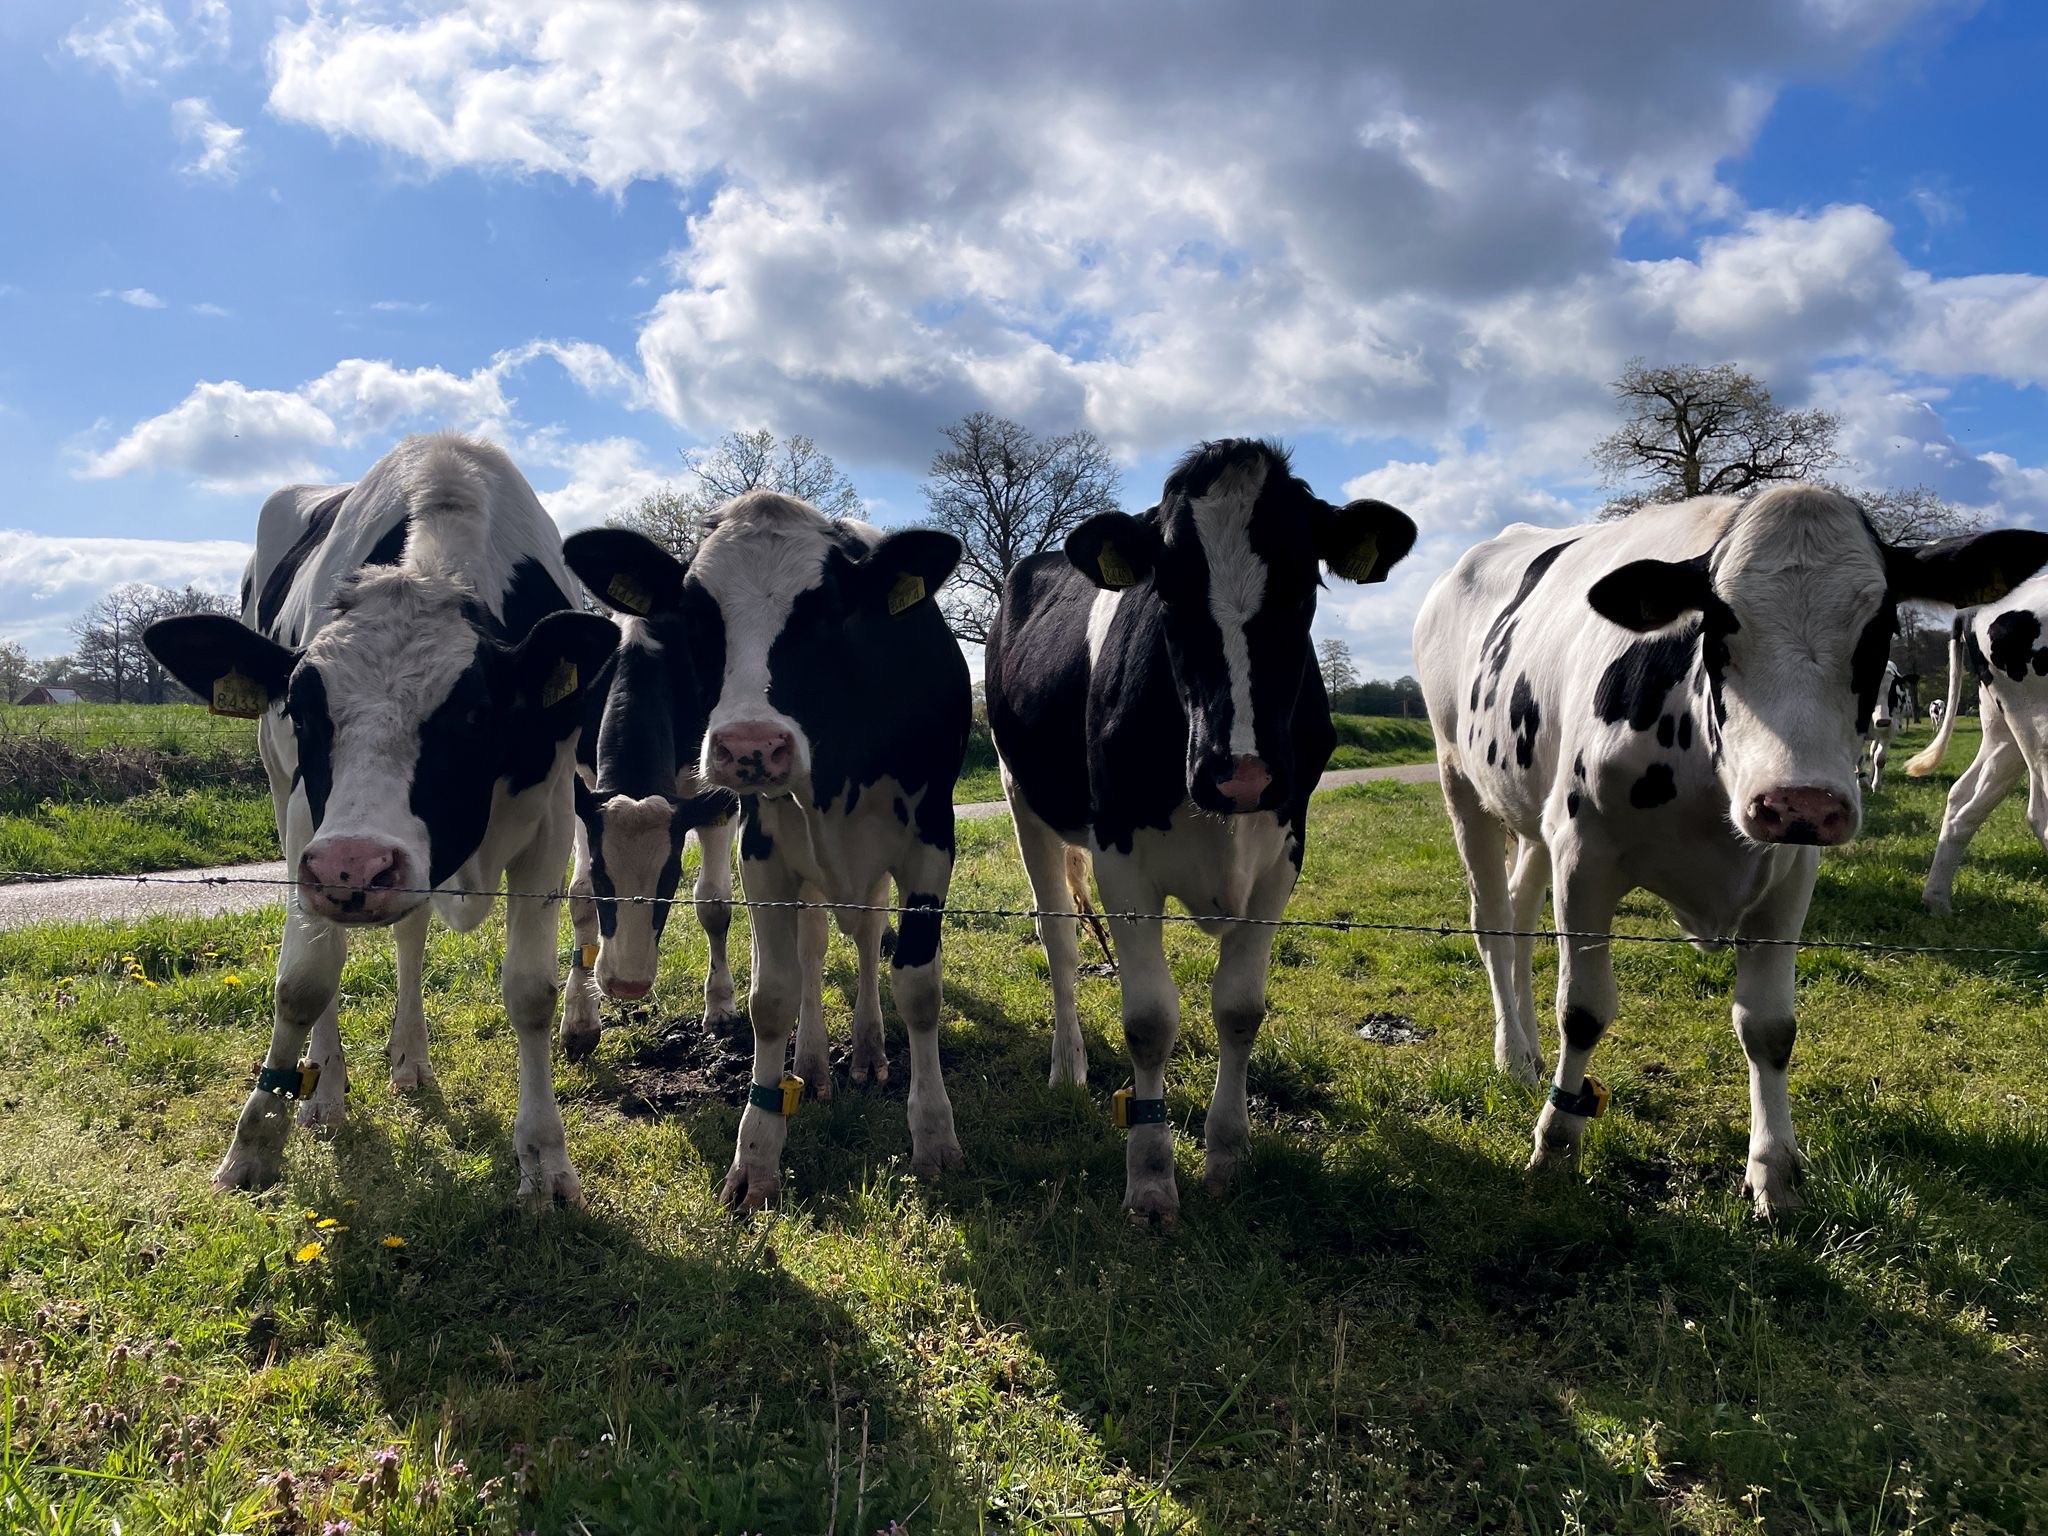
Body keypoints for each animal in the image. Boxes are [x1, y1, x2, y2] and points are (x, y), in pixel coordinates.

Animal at [143, 434, 617, 1202]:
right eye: (304, 707)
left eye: (473, 713)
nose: (353, 867)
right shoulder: (306, 825)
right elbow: (304, 981)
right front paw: (255, 1140)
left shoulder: (548, 817)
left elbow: (529, 993)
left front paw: (545, 1160)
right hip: (285, 798)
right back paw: (325, 1094)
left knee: (410, 933)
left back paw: (410, 1057)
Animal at [562, 494, 971, 1210]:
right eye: (698, 615)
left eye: (827, 611)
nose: (750, 745)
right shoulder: (762, 849)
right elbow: (773, 994)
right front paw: (755, 1156)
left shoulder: (930, 842)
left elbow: (918, 989)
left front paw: (934, 1137)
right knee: (813, 950)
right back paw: (811, 1066)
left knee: (867, 937)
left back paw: (868, 1052)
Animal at [985, 438, 1417, 1225]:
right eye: (1169, 591)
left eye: (1303, 586)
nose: (1238, 773)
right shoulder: (1119, 858)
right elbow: (1150, 1021)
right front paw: (1152, 1178)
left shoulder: (1282, 856)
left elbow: (1240, 1010)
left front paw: (1228, 1153)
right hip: (1020, 795)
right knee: (1058, 933)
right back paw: (1068, 1064)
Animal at [1861, 661, 1911, 791]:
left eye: (1893, 692)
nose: (1882, 721)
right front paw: (1862, 782)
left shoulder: (1889, 730)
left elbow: (1879, 758)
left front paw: (1876, 785)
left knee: (1873, 752)